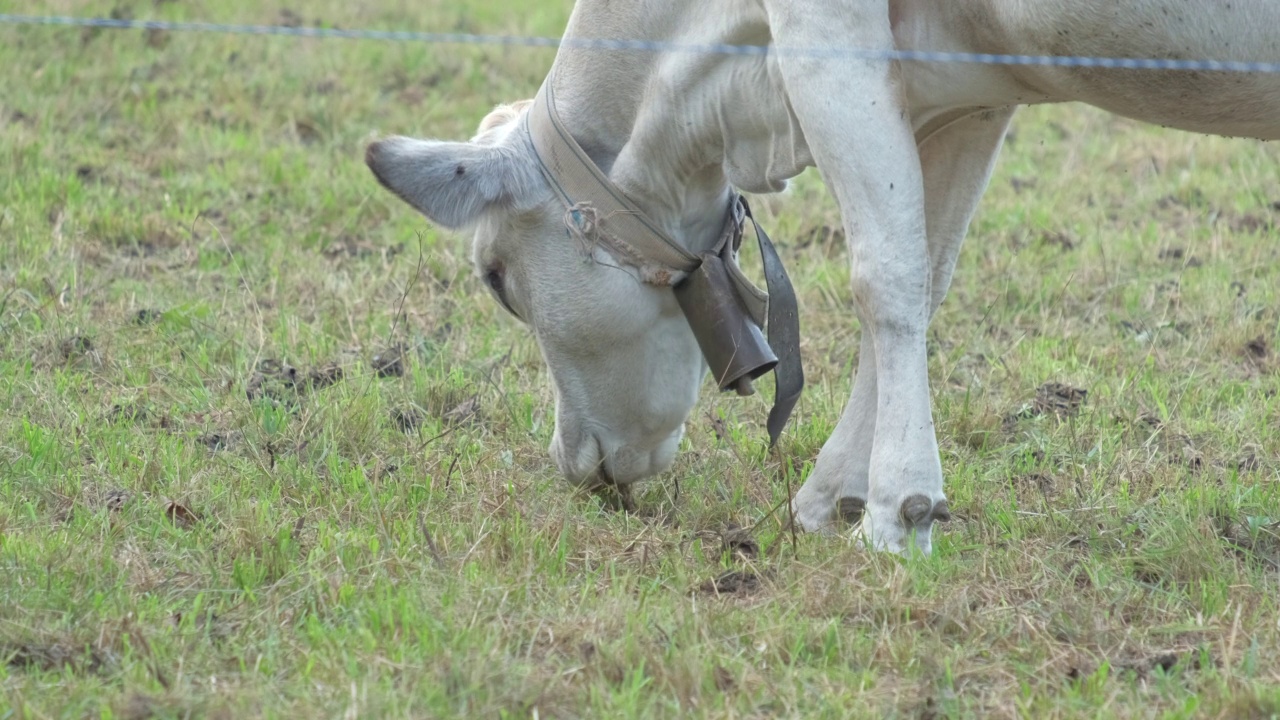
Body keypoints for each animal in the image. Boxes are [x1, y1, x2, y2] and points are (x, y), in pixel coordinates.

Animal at [363, 0, 1280, 550]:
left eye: (495, 278)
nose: (574, 461)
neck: (734, 81)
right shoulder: (969, 89)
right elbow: (925, 270)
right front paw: (835, 494)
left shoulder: (825, 32)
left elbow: (883, 275)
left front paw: (899, 507)